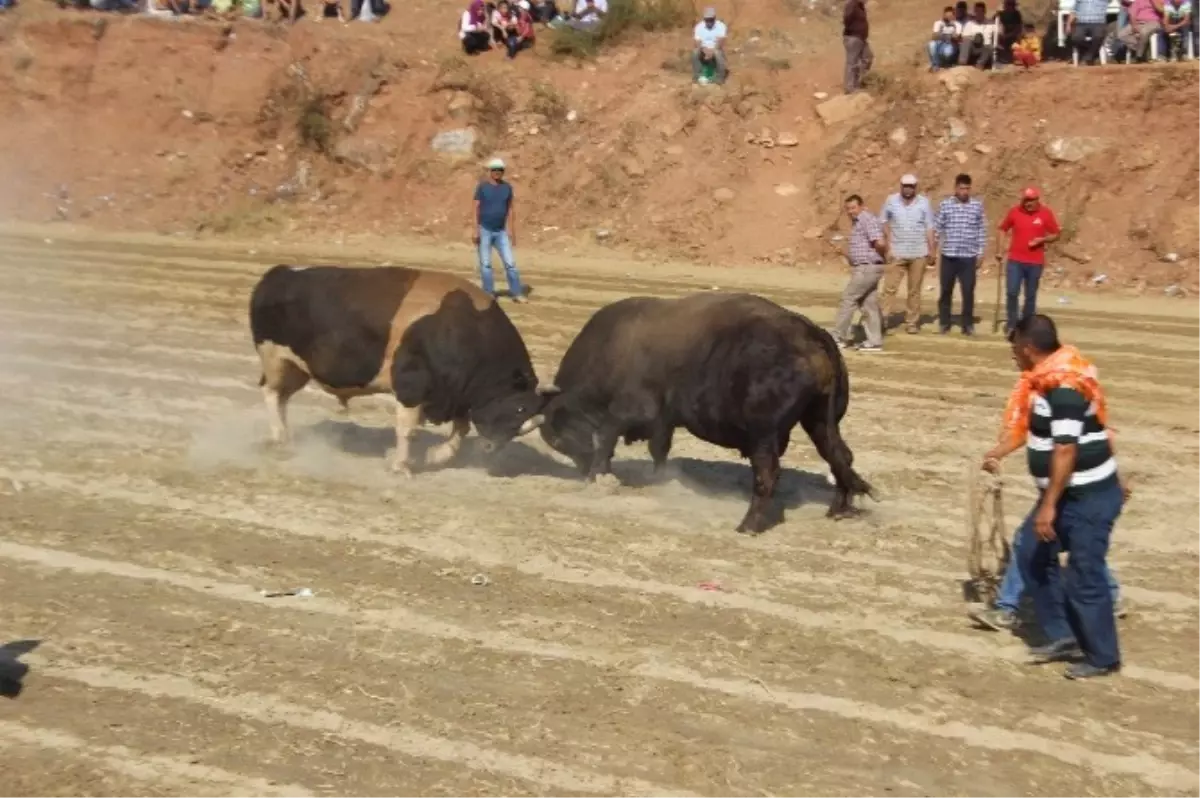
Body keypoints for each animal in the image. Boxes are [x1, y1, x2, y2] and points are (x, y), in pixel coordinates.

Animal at [540, 289, 878, 532]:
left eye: (561, 440)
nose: (582, 471)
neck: (611, 346)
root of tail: (811, 334)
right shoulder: (663, 422)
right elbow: (658, 449)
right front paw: (659, 478)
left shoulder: (630, 411)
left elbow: (606, 439)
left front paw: (599, 476)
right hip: (819, 421)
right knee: (840, 457)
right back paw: (839, 508)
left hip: (764, 436)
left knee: (768, 474)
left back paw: (748, 526)